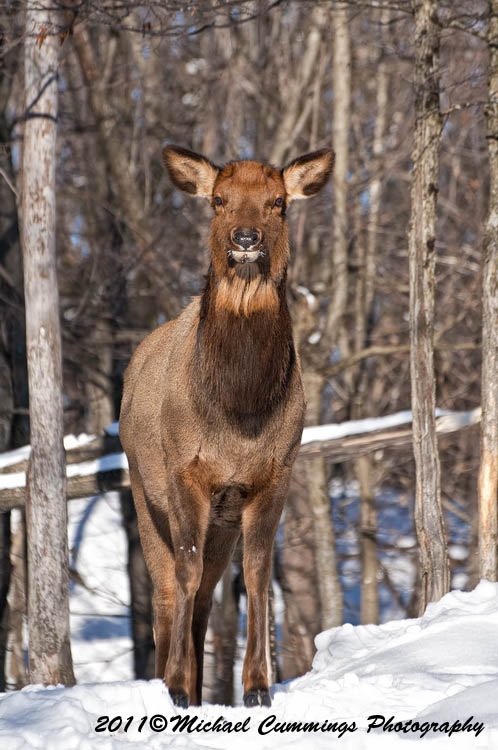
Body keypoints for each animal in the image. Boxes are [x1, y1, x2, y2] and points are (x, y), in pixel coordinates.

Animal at [119, 144, 334, 709]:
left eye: (279, 202)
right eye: (218, 200)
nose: (245, 237)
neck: (240, 415)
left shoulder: (272, 476)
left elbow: (257, 576)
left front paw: (257, 686)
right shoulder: (184, 473)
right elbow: (185, 571)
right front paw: (175, 685)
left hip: (221, 519)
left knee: (204, 599)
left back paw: (197, 689)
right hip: (143, 490)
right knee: (168, 590)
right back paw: (172, 684)